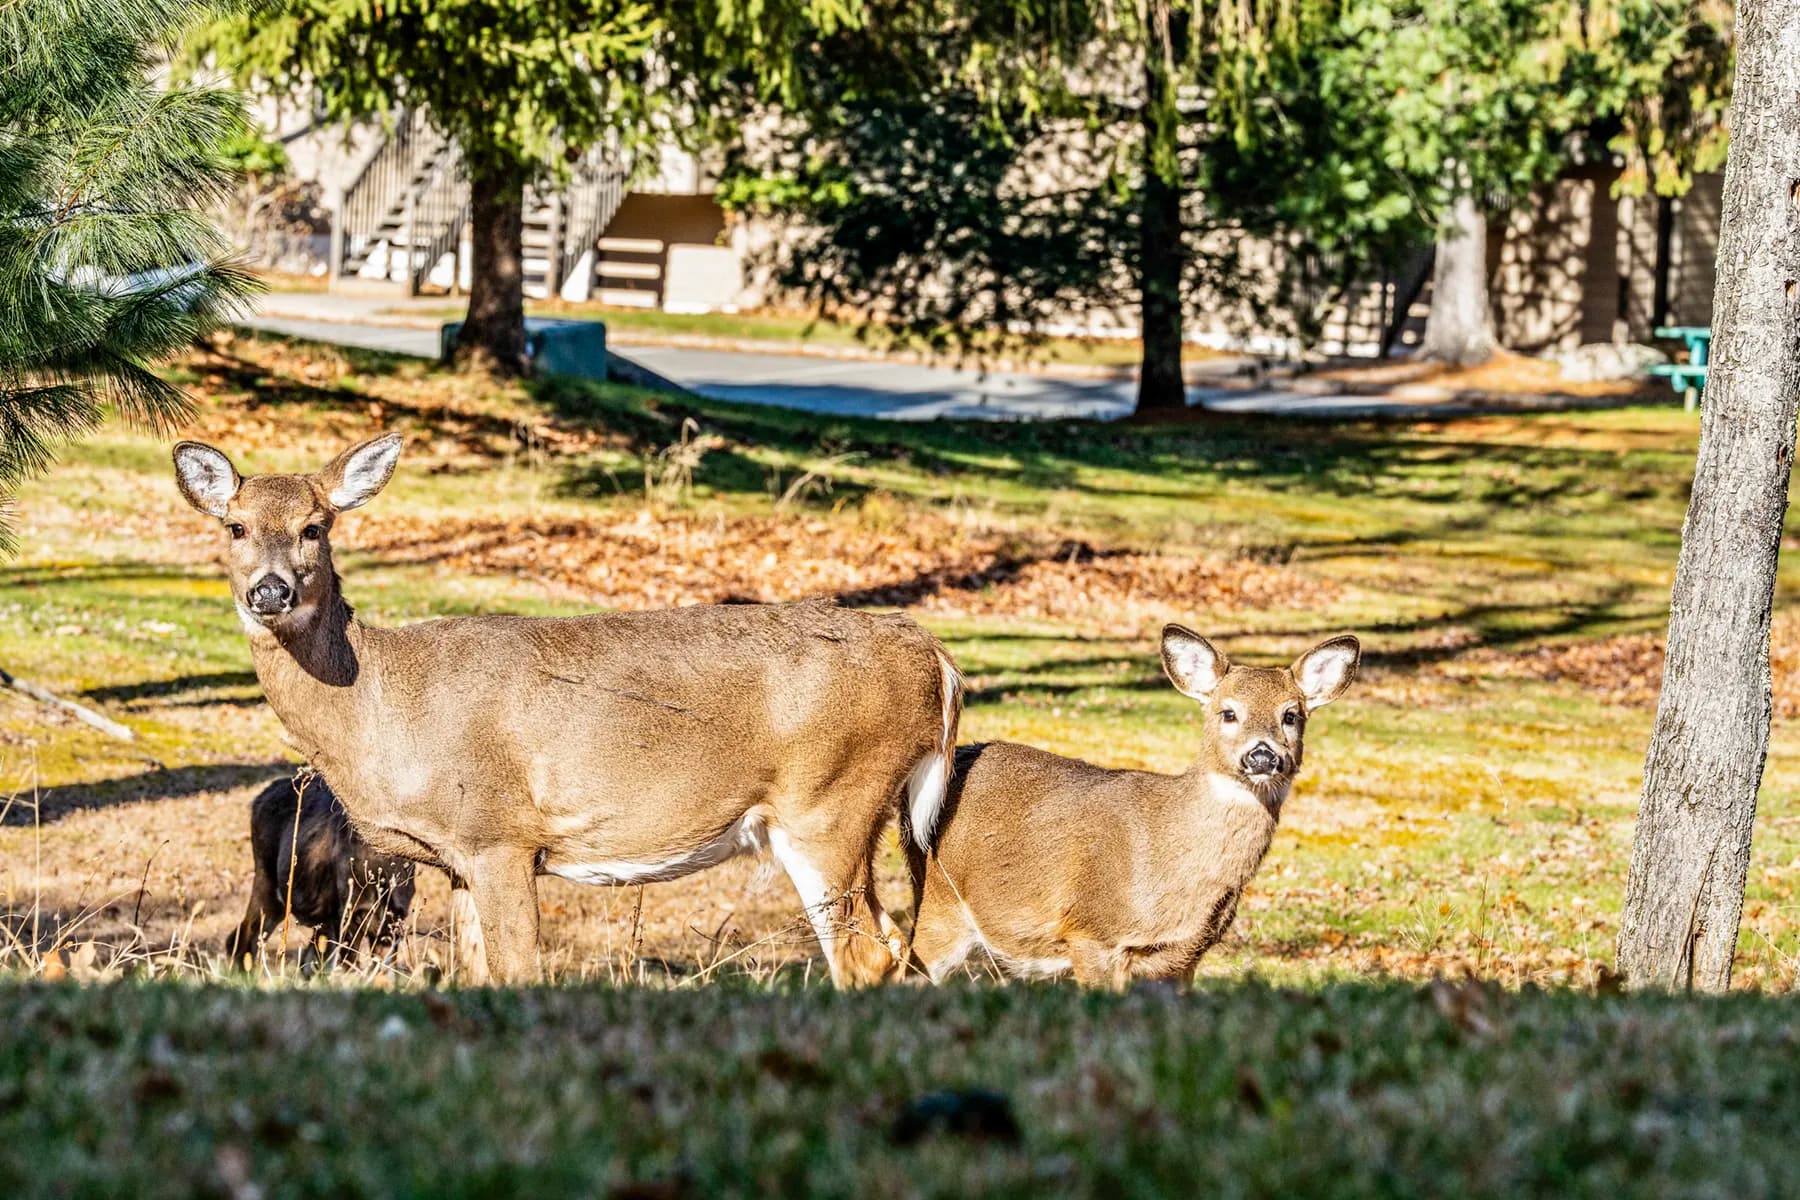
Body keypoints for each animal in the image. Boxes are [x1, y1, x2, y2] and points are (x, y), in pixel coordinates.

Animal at [172, 434, 962, 986]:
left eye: (316, 526)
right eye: (235, 526)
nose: (270, 591)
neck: (384, 706)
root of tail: (936, 661)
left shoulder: (501, 834)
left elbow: (521, 971)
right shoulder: (459, 858)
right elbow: (475, 975)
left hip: (827, 804)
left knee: (866, 954)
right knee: (900, 943)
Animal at [905, 627, 1358, 989]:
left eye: (1291, 715)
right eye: (1228, 712)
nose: (1262, 755)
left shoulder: (1182, 958)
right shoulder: (1093, 932)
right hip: (941, 902)